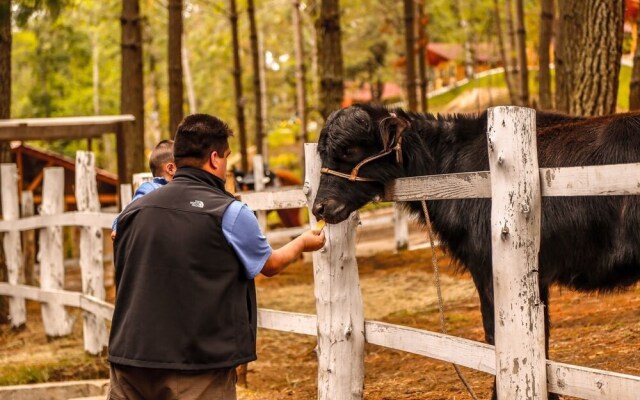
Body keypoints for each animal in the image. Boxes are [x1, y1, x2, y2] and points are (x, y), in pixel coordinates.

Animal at [312, 104, 640, 400]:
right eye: (324, 153)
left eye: (349, 149)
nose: (320, 208)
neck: (453, 166)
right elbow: (540, 343)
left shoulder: (491, 271)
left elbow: (498, 338)